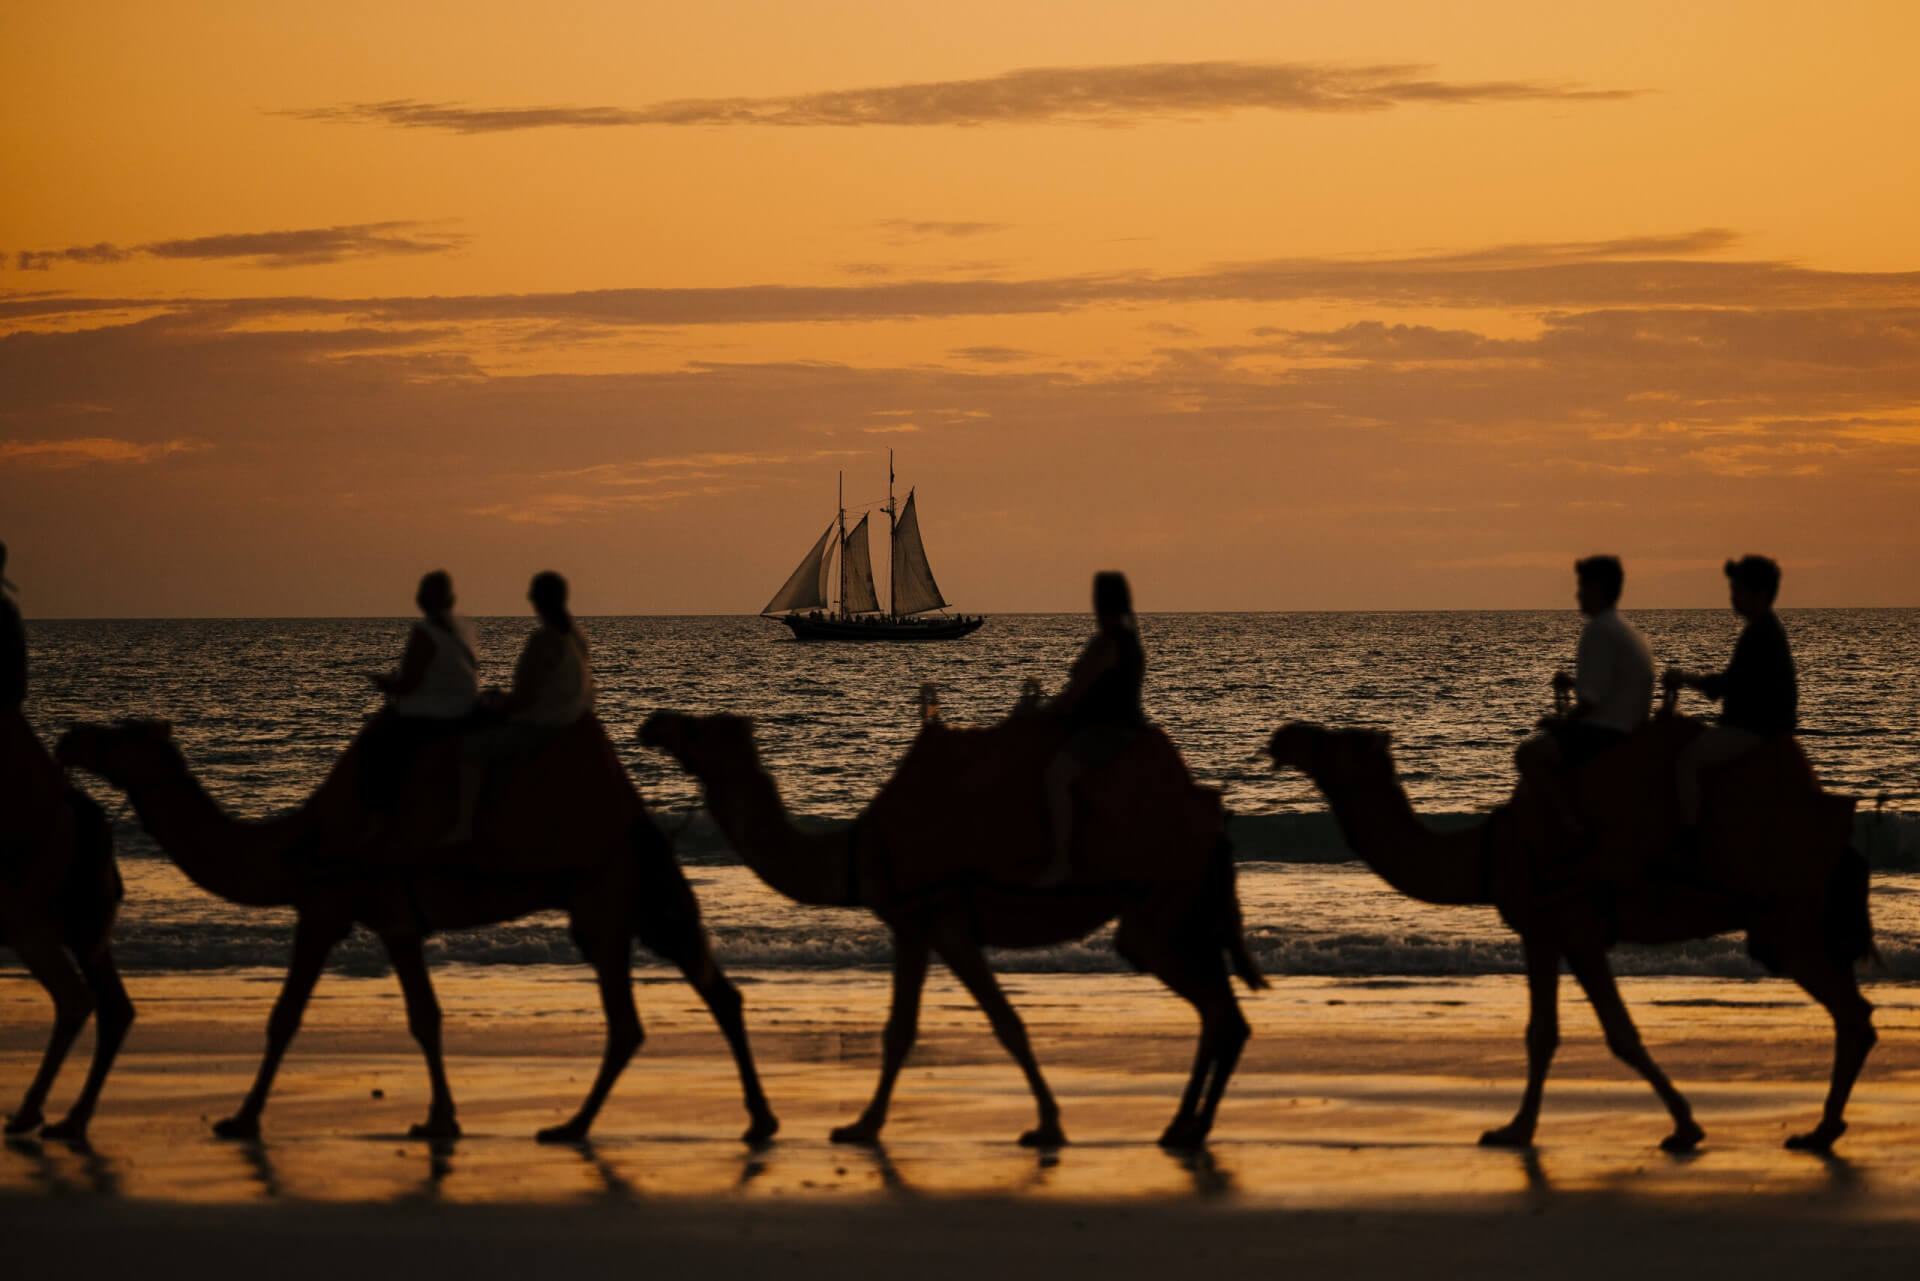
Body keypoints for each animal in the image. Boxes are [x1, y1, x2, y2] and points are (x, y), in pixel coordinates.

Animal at [0, 710, 130, 1144]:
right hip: (84, 926)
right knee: (114, 1005)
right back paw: (72, 1117)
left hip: (29, 922)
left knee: (75, 998)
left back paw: (31, 1111)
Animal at [60, 718, 779, 1144]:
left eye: (118, 735)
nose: (70, 735)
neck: (301, 840)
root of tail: (635, 811)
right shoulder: (383, 916)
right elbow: (421, 1016)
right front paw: (440, 1118)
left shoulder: (338, 905)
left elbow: (292, 1016)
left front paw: (240, 1119)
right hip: (637, 895)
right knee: (715, 988)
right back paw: (757, 1118)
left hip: (601, 897)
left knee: (630, 1019)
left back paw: (572, 1127)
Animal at [645, 710, 1267, 1152]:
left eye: (697, 728)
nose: (653, 721)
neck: (856, 853)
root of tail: (1214, 826)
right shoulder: (921, 926)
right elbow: (920, 1026)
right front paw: (865, 1124)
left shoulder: (931, 918)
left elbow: (982, 1024)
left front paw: (865, 1125)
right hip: (1177, 908)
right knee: (1223, 1013)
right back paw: (1186, 1128)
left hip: (1161, 904)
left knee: (1214, 1007)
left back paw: (1186, 1127)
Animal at [1274, 718, 1873, 1160]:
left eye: (1335, 741)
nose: (1284, 735)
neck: (1489, 851)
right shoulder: (1547, 931)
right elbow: (1546, 1032)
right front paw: (1516, 1129)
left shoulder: (1564, 924)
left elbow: (1604, 1032)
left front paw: (1681, 1126)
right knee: (1854, 1011)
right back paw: (1823, 1130)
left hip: (1786, 917)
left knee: (1850, 1012)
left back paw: (1820, 1131)